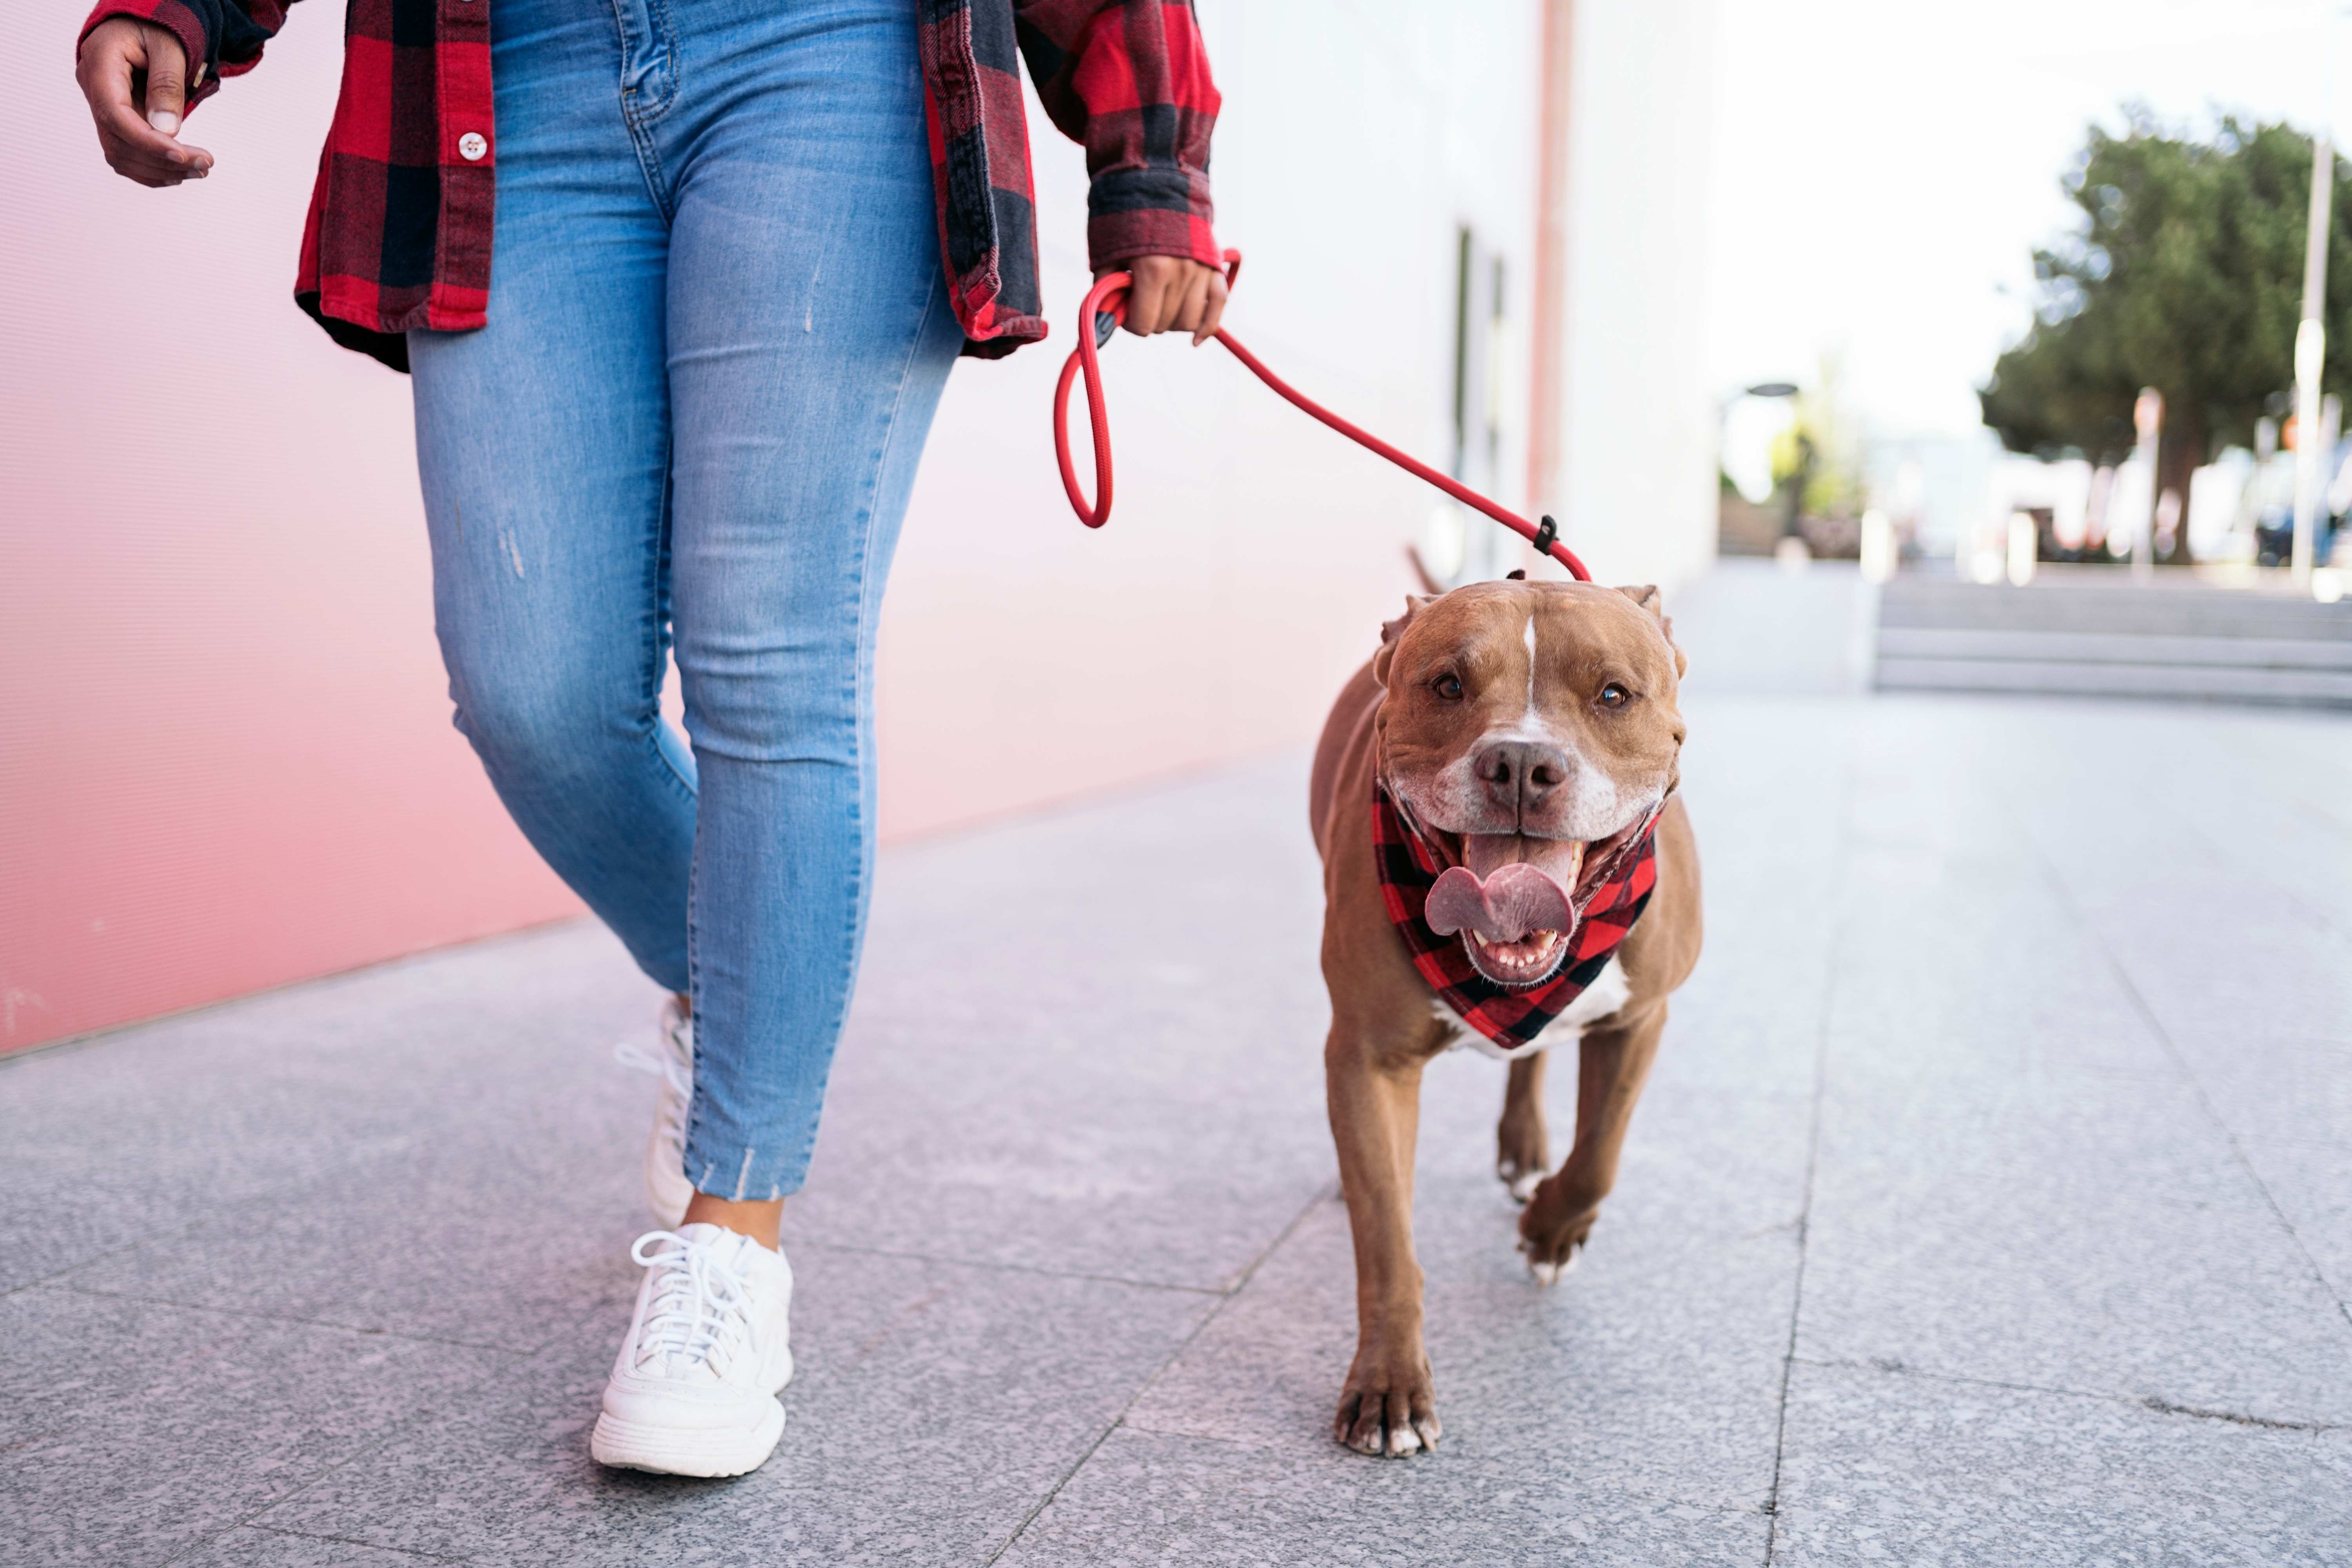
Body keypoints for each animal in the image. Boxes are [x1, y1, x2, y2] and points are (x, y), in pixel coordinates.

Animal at [1308, 576, 1712, 1457]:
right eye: (1448, 685)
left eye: (1613, 694)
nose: (1522, 763)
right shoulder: (1368, 1056)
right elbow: (1386, 1234)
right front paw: (1389, 1386)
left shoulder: (1643, 1018)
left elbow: (1600, 1156)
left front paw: (1551, 1233)